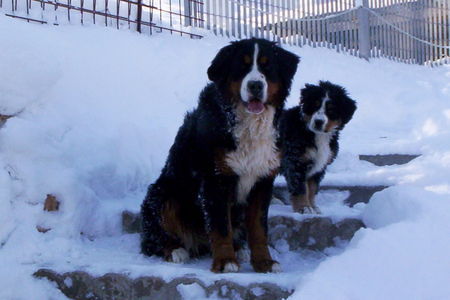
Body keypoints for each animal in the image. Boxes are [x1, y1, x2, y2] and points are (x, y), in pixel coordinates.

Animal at [141, 38, 298, 274]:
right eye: (242, 66)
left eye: (267, 66)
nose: (255, 85)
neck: (250, 126)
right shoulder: (215, 178)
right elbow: (221, 225)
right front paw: (225, 262)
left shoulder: (262, 181)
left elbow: (259, 229)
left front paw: (264, 262)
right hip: (163, 195)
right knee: (154, 238)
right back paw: (176, 250)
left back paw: (240, 249)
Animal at [280, 81, 356, 214]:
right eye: (315, 105)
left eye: (331, 109)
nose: (318, 122)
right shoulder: (295, 162)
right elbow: (300, 189)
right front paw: (304, 208)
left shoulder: (320, 165)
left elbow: (312, 189)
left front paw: (313, 207)